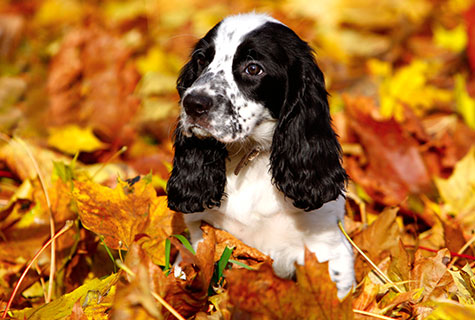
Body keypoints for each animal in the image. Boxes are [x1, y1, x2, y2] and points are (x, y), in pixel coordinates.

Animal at [165, 11, 356, 298]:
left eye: (253, 68)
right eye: (201, 60)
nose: (193, 104)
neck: (250, 156)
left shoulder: (325, 247)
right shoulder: (202, 237)